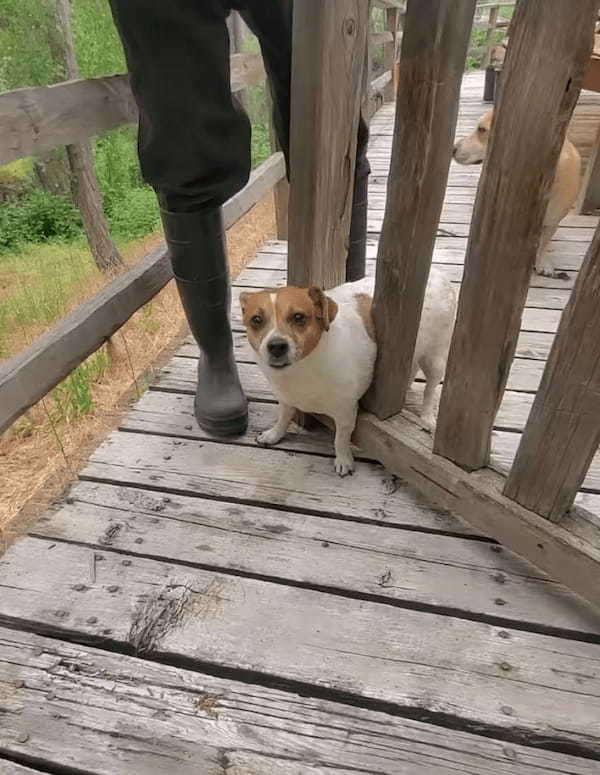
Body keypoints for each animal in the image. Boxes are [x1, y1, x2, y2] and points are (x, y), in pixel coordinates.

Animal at [241, 272, 458, 478]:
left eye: (298, 317)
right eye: (256, 320)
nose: (277, 346)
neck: (302, 370)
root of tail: (439, 274)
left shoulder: (345, 411)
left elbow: (340, 438)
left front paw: (343, 460)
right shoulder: (286, 399)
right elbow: (283, 418)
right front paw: (274, 435)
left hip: (435, 360)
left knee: (430, 389)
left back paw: (427, 417)